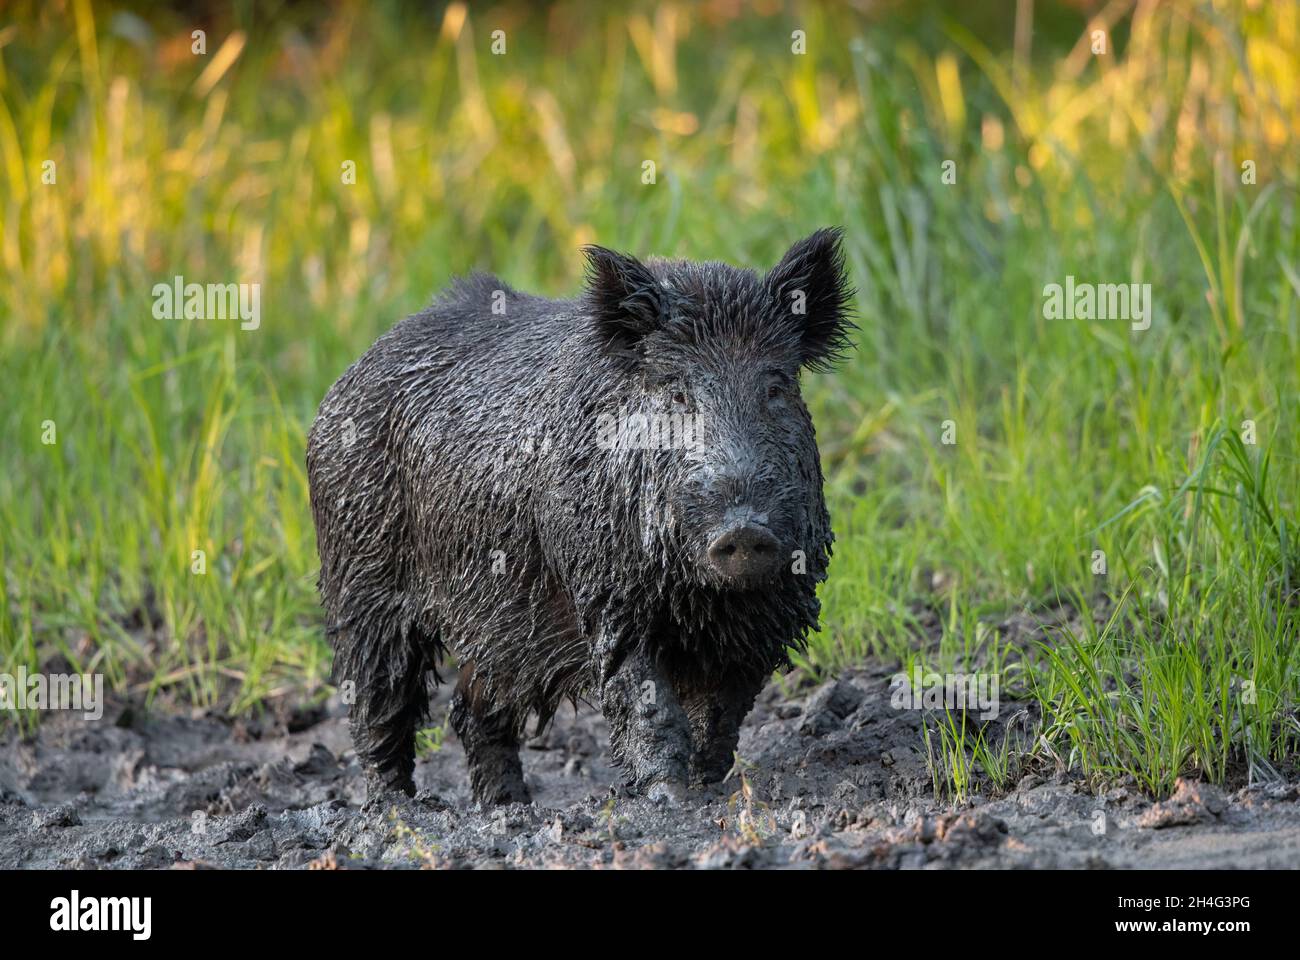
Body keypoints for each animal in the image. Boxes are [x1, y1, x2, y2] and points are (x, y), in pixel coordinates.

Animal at [306, 228, 855, 804]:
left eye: (776, 387)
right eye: (677, 392)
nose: (744, 528)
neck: (703, 597)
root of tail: (339, 388)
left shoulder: (770, 611)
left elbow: (722, 712)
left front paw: (708, 787)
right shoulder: (607, 593)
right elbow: (647, 700)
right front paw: (669, 797)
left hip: (496, 621)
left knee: (473, 709)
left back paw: (509, 805)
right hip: (361, 580)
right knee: (376, 702)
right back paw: (395, 805)